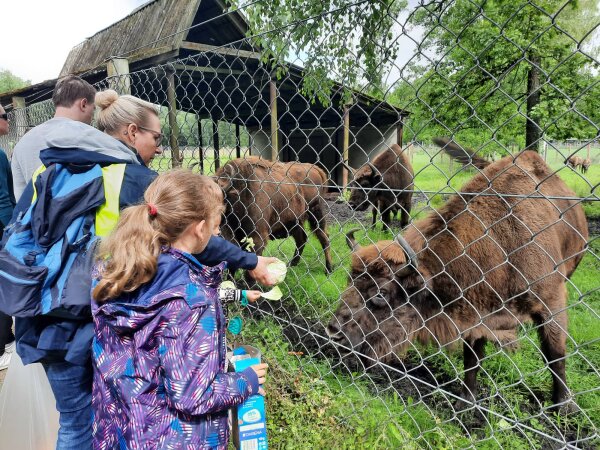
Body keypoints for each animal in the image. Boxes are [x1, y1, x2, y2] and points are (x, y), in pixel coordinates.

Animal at [326, 149, 588, 414]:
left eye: (381, 293)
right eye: (350, 281)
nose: (334, 332)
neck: (498, 246)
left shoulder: (552, 303)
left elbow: (555, 353)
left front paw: (564, 405)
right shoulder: (477, 313)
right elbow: (472, 358)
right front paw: (466, 400)